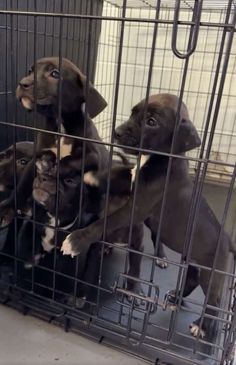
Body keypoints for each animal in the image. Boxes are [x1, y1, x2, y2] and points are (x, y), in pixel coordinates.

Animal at [61, 93, 236, 338]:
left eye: (151, 122)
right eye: (133, 112)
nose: (116, 132)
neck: (161, 158)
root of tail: (228, 242)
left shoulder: (135, 209)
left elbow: (106, 221)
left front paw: (76, 241)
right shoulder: (132, 179)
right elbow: (119, 173)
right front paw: (93, 176)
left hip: (211, 273)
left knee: (214, 302)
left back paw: (202, 326)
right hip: (192, 260)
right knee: (192, 279)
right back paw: (175, 299)